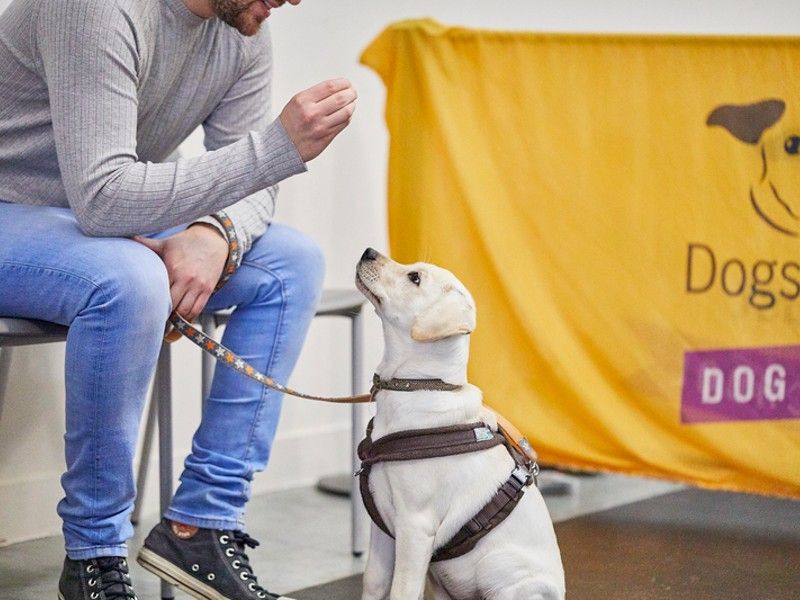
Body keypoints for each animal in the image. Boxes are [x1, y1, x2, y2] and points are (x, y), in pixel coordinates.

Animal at [356, 248, 564, 600]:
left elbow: (402, 590)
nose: (368, 252)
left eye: (415, 278)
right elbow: (375, 583)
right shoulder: (382, 526)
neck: (420, 386)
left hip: (501, 568)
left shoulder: (415, 527)